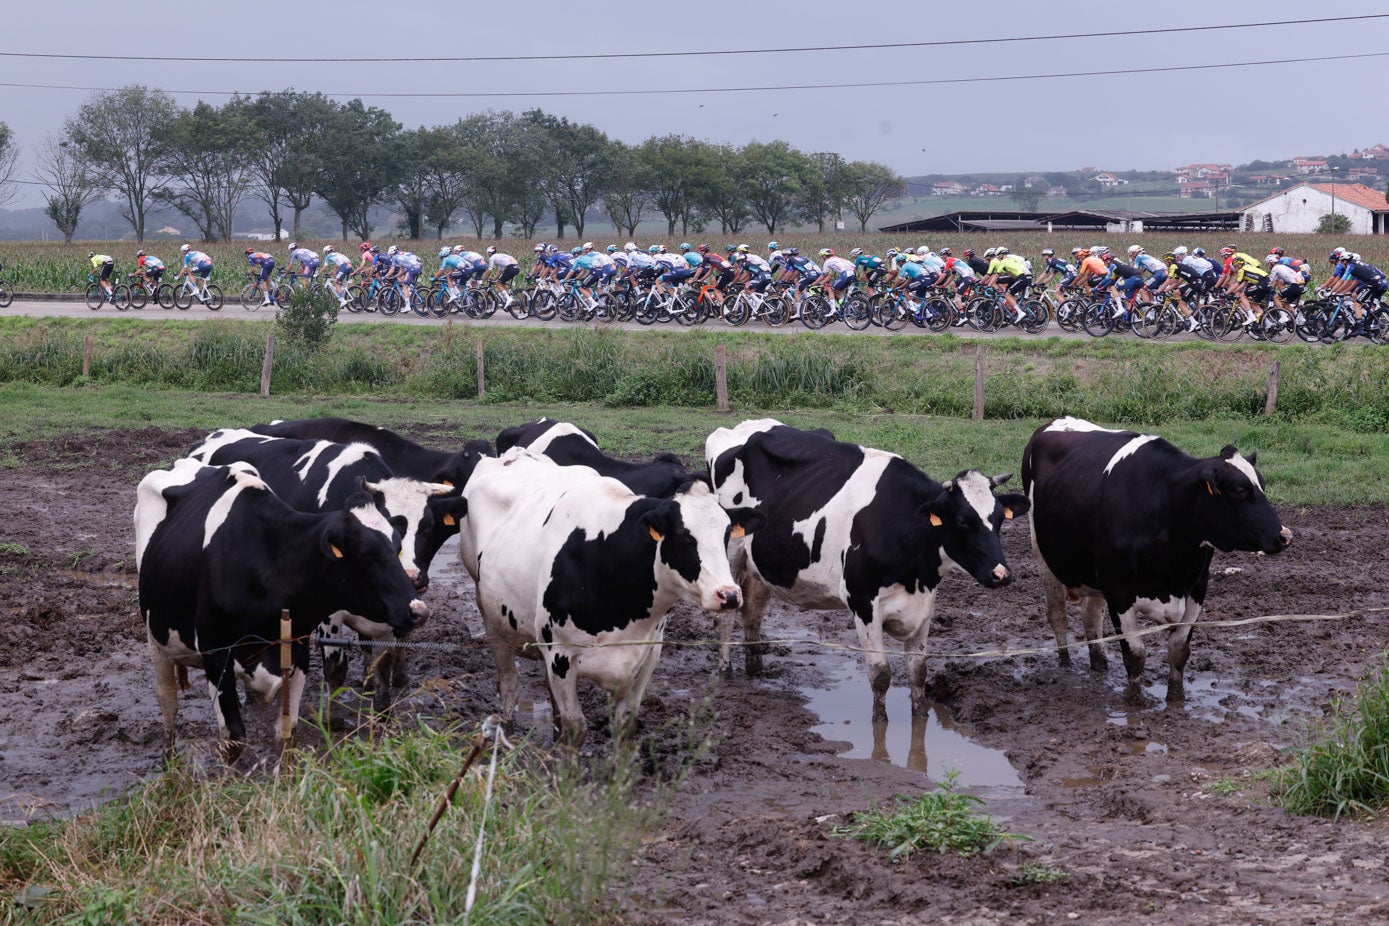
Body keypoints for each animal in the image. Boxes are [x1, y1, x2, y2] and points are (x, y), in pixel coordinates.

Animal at [136, 458, 427, 760]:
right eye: (368, 555)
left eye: (396, 547)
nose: (418, 611)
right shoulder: (217, 657)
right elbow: (234, 737)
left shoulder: (297, 652)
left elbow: (287, 730)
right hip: (156, 639)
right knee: (167, 701)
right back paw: (169, 763)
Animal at [455, 447, 761, 744]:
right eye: (684, 537)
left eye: (726, 534)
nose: (729, 595)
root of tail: (512, 455)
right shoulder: (560, 657)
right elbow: (575, 729)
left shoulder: (648, 655)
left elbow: (624, 725)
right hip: (491, 616)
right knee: (508, 680)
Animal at [705, 419, 1033, 721]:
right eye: (964, 522)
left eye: (999, 519)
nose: (1002, 574)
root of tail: (742, 426)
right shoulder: (862, 602)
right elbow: (881, 675)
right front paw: (880, 725)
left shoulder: (924, 604)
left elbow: (918, 672)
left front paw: (920, 718)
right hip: (730, 556)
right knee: (726, 618)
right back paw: (726, 673)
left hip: (761, 564)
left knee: (753, 614)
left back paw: (757, 674)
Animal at [1022, 416, 1288, 699]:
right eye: (1240, 491)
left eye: (1262, 485)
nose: (1285, 535)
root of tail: (1058, 421)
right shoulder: (1118, 591)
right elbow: (1135, 656)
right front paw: (1134, 702)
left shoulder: (1197, 588)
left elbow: (1179, 651)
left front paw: (1176, 700)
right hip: (1042, 553)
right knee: (1057, 614)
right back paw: (1065, 666)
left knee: (1090, 614)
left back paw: (1100, 664)